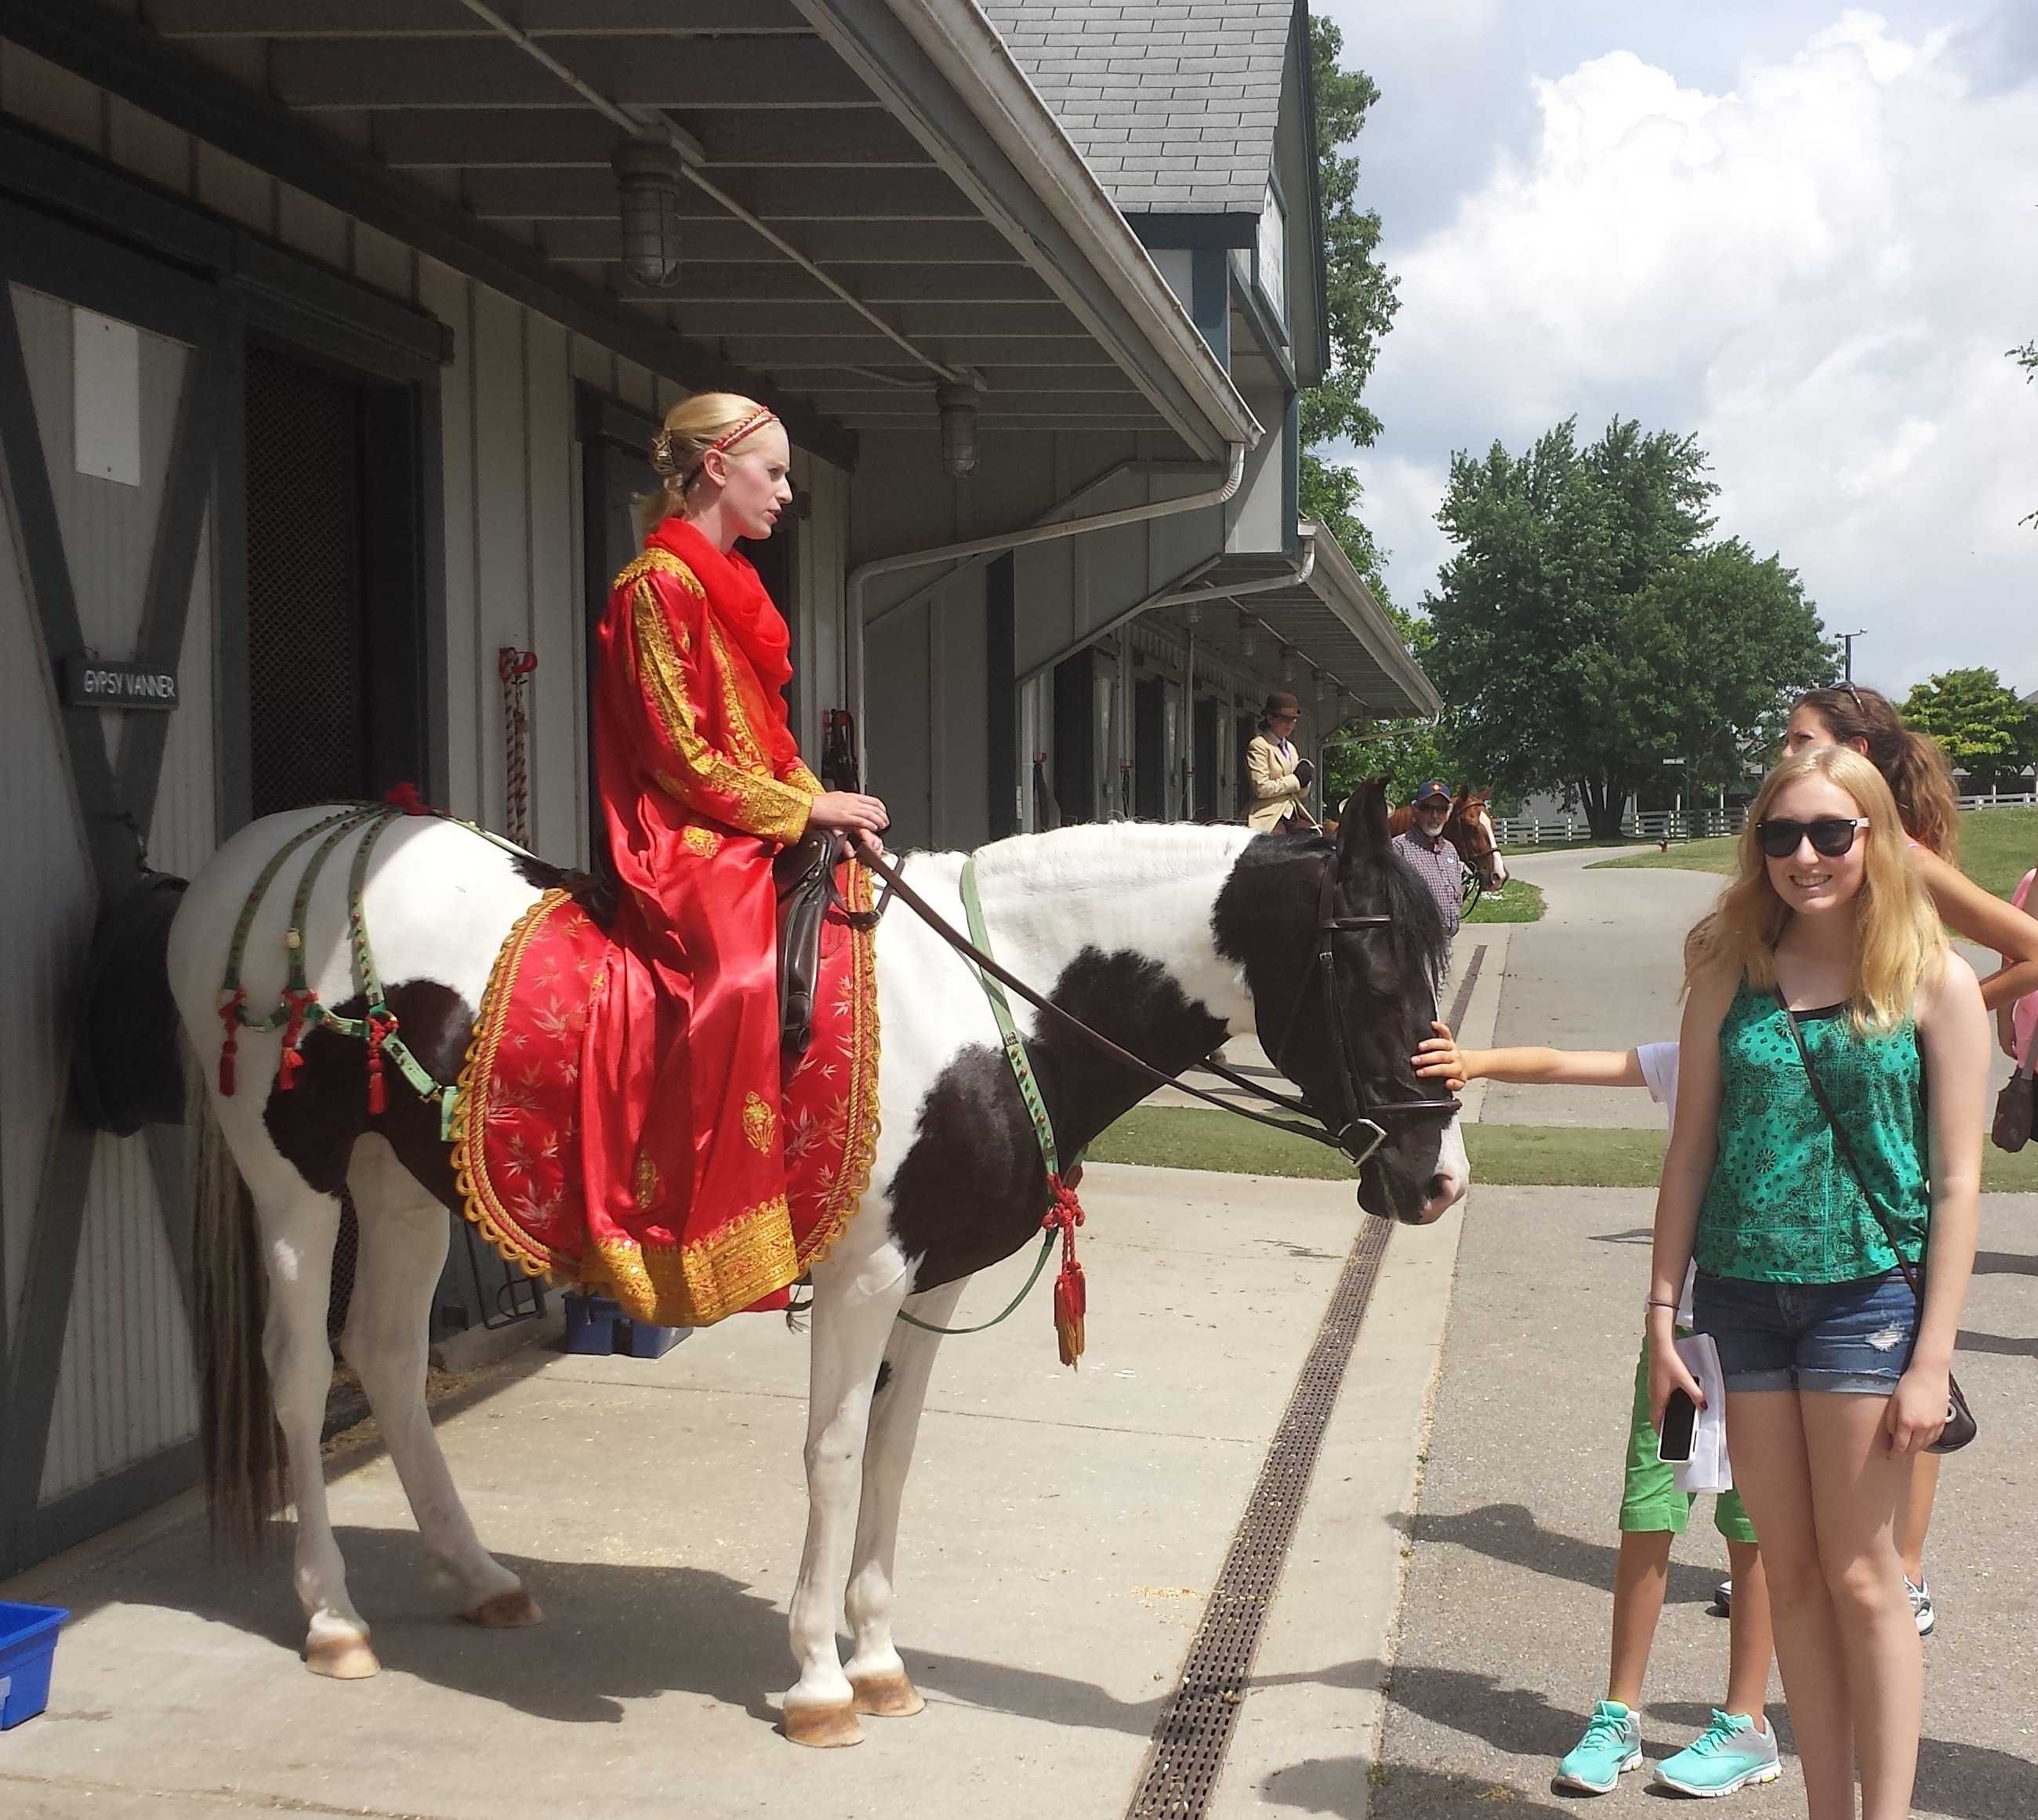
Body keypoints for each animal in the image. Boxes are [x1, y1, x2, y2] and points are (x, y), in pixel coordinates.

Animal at [158, 782, 1467, 1744]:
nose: (1440, 1178)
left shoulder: (931, 1281)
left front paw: (878, 1657)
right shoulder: (863, 1280)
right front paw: (821, 1681)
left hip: (399, 1180)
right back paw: (333, 1616)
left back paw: (477, 1573)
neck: (985, 1004)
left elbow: (892, 1454)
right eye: (1377, 975)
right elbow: (834, 1461)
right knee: (297, 1373)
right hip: (295, 1179)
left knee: (382, 1352)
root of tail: (270, 846)